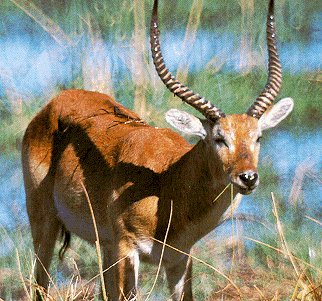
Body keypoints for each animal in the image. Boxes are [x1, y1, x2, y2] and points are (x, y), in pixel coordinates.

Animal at [22, 0, 294, 298]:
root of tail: (57, 101)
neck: (168, 184)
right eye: (219, 138)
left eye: (258, 137)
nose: (248, 177)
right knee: (39, 283)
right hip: (45, 224)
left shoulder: (179, 258)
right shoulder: (127, 250)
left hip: (104, 246)